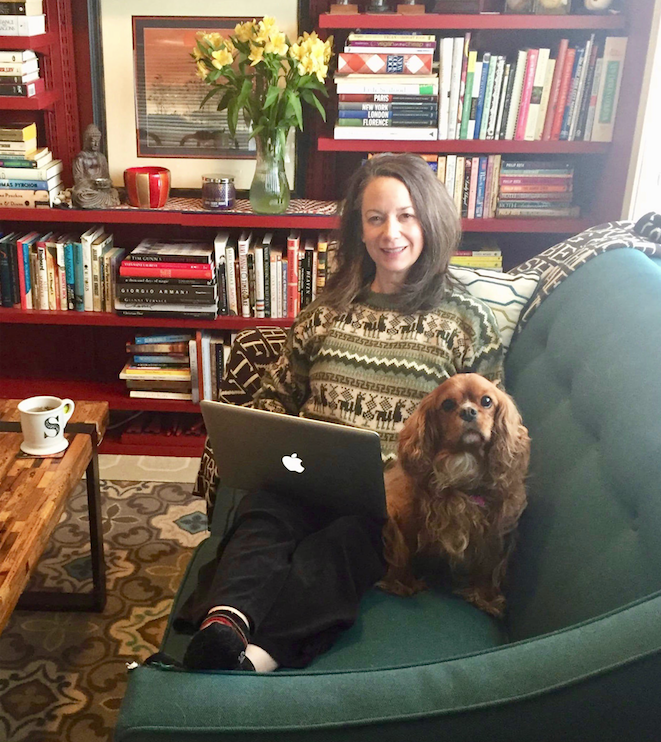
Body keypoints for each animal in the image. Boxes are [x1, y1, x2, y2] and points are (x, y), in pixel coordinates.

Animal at [378, 374, 528, 620]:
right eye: (448, 405)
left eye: (486, 401)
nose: (468, 411)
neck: (463, 464)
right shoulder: (406, 517)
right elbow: (404, 552)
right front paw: (403, 583)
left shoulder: (493, 531)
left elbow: (488, 566)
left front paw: (486, 599)